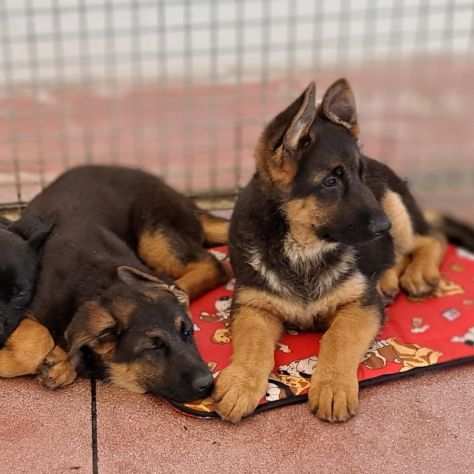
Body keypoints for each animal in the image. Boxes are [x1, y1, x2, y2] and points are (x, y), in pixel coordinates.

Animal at [0, 165, 230, 402]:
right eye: (153, 347)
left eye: (187, 332)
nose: (209, 385)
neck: (103, 284)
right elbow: (39, 338)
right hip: (153, 235)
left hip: (154, 233)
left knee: (213, 265)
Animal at [214, 79, 466, 424]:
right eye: (331, 181)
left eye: (360, 175)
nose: (383, 227)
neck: (302, 248)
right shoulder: (253, 305)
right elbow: (253, 343)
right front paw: (241, 381)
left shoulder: (361, 305)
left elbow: (339, 337)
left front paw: (333, 385)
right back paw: (387, 279)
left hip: (394, 203)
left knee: (431, 238)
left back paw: (418, 273)